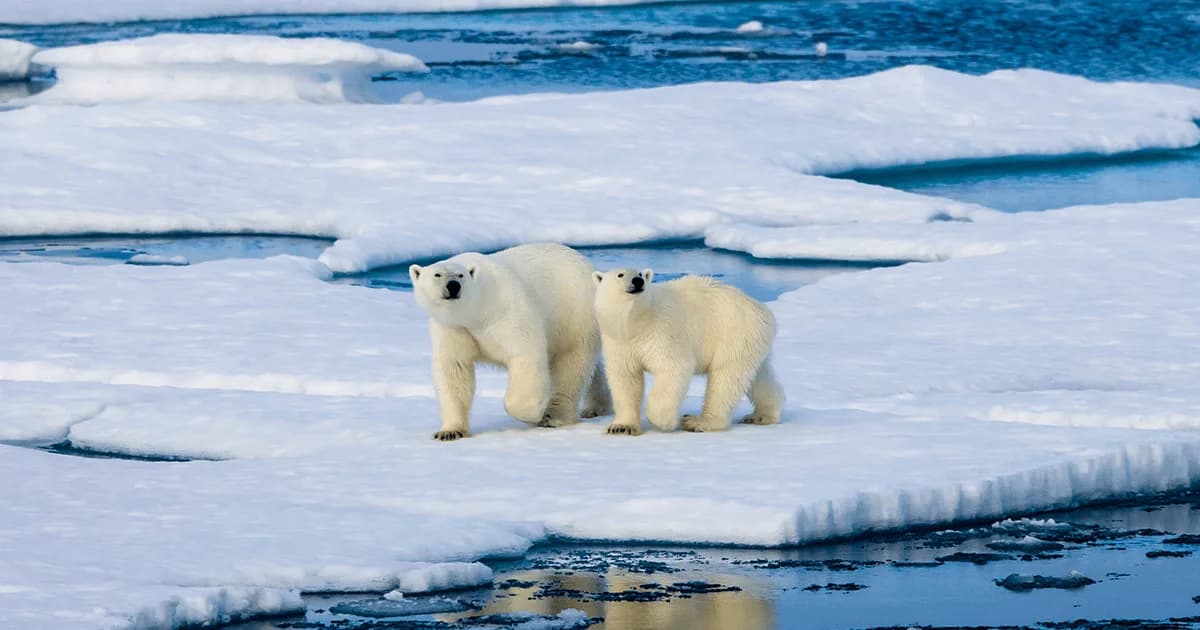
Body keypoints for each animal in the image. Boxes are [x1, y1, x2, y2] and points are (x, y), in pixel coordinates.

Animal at [410, 243, 612, 441]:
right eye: (437, 274)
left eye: (461, 275)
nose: (453, 286)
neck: (477, 312)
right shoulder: (453, 328)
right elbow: (454, 369)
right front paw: (450, 431)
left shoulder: (506, 311)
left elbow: (525, 354)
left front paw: (533, 414)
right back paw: (596, 407)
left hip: (574, 315)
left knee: (570, 365)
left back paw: (553, 416)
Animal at [591, 268, 784, 434]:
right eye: (620, 275)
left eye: (640, 274)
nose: (638, 281)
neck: (635, 323)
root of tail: (763, 310)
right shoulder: (619, 342)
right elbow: (625, 378)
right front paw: (621, 427)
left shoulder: (661, 331)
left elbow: (674, 367)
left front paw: (666, 422)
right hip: (751, 340)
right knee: (757, 376)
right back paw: (763, 415)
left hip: (733, 333)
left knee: (725, 378)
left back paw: (698, 421)